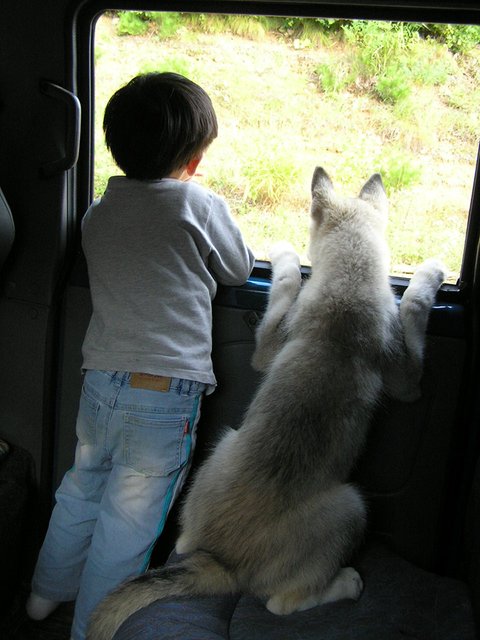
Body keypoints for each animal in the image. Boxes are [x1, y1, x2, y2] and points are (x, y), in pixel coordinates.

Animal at [87, 167, 445, 640]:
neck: (349, 280)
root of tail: (224, 564)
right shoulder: (403, 381)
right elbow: (407, 307)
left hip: (223, 447)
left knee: (191, 544)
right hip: (351, 505)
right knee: (280, 603)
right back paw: (347, 584)